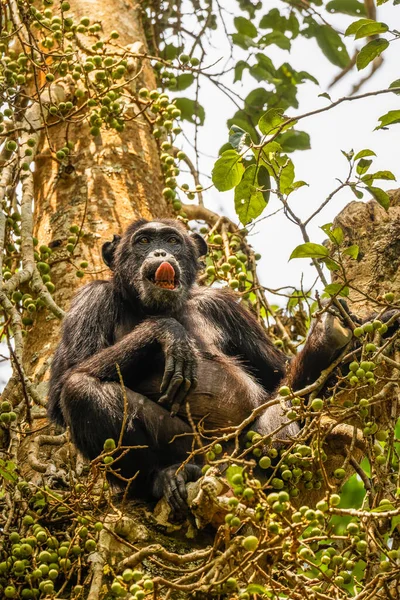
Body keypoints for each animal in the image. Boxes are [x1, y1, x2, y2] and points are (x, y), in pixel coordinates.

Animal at [47, 218, 354, 512]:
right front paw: (168, 332)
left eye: (172, 240)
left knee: (278, 410)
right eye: (144, 241)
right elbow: (65, 382)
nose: (161, 252)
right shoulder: (90, 299)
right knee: (79, 389)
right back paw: (164, 477)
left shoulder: (223, 306)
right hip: (190, 450)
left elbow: (276, 371)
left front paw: (327, 338)